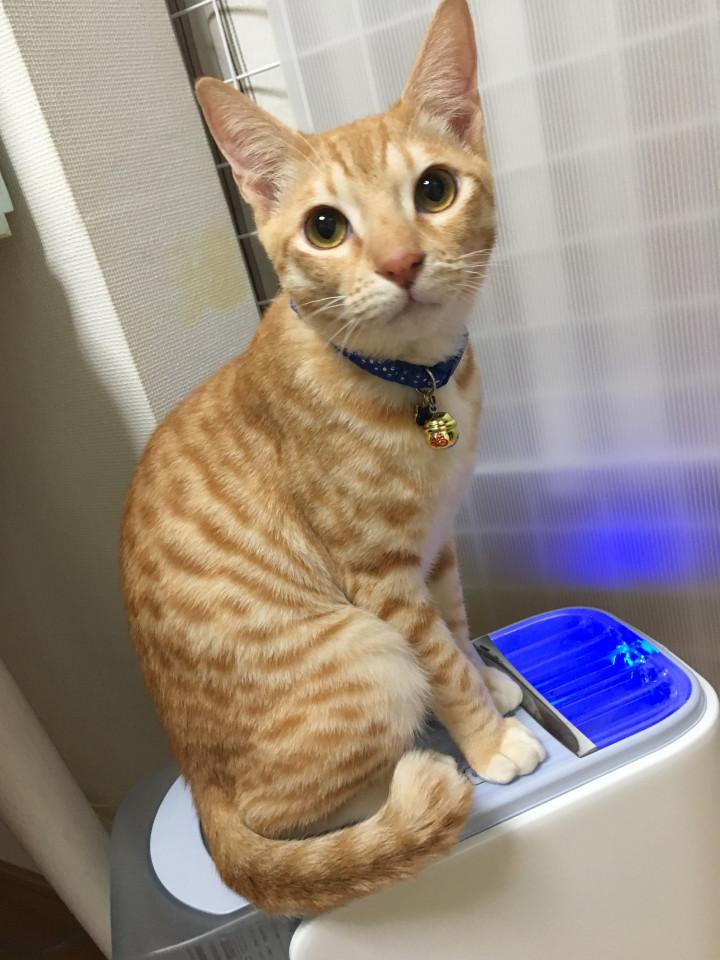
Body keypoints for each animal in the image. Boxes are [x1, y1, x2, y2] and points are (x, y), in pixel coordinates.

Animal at [120, 0, 544, 916]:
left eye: (434, 189)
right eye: (325, 227)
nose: (400, 262)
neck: (418, 380)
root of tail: (199, 788)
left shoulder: (436, 546)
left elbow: (457, 626)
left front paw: (487, 686)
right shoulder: (380, 578)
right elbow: (437, 658)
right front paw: (489, 740)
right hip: (366, 653)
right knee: (288, 818)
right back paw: (408, 780)